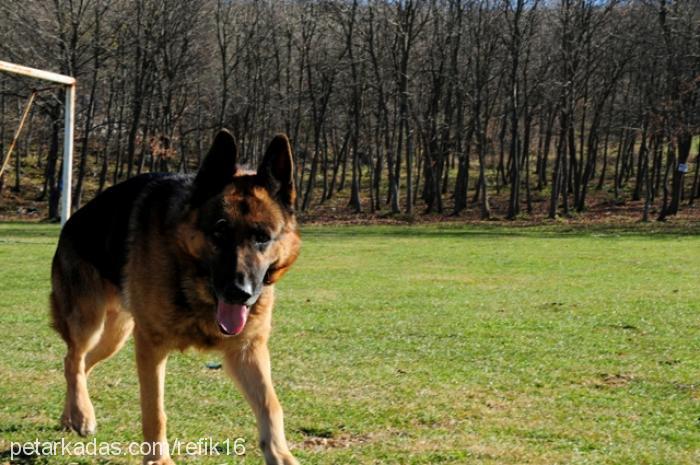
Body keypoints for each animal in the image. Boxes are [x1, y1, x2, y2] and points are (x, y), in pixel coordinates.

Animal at [48, 131, 300, 464]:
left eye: (263, 238)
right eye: (219, 232)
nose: (239, 292)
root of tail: (72, 220)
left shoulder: (248, 350)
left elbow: (271, 405)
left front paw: (280, 455)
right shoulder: (151, 347)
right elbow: (154, 410)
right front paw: (158, 459)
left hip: (116, 334)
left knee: (80, 364)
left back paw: (71, 415)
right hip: (89, 322)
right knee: (73, 358)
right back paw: (81, 414)